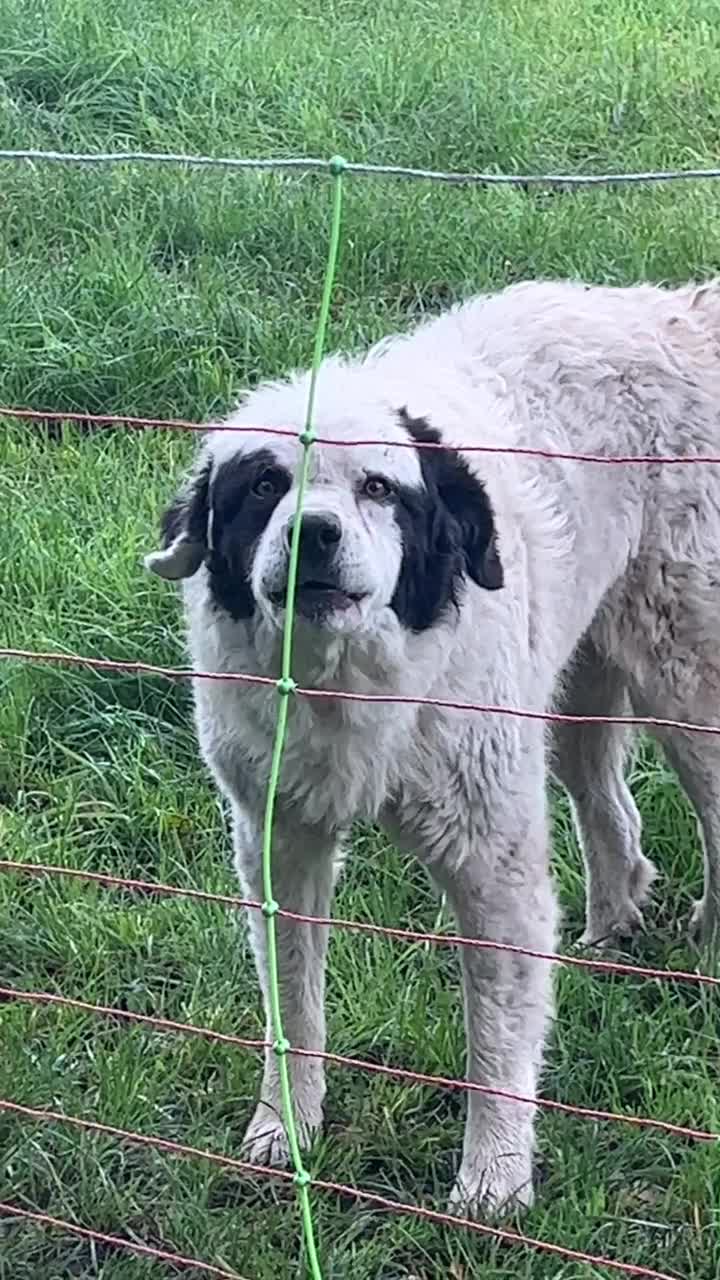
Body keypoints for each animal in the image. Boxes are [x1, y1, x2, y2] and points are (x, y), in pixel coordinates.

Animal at [144, 282, 717, 1218]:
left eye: (379, 488)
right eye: (264, 486)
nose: (313, 532)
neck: (347, 685)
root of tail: (675, 308)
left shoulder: (491, 860)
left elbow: (496, 1036)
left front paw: (492, 1184)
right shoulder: (279, 839)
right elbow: (293, 1003)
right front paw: (285, 1133)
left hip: (684, 678)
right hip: (574, 688)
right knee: (612, 811)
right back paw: (609, 929)